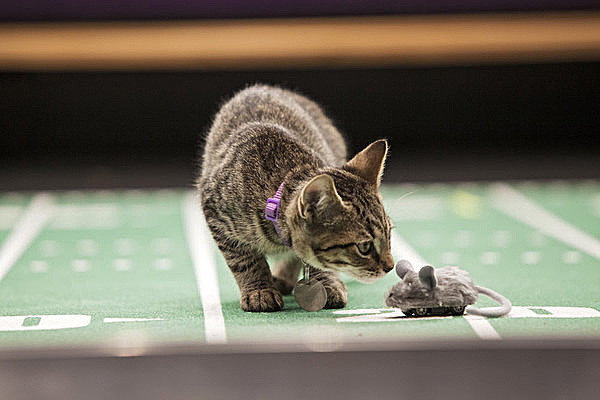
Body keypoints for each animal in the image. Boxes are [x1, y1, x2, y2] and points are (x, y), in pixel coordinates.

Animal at [197, 86, 394, 312]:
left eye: (389, 236)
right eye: (364, 247)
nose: (391, 266)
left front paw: (326, 283)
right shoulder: (216, 214)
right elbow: (245, 260)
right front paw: (259, 290)